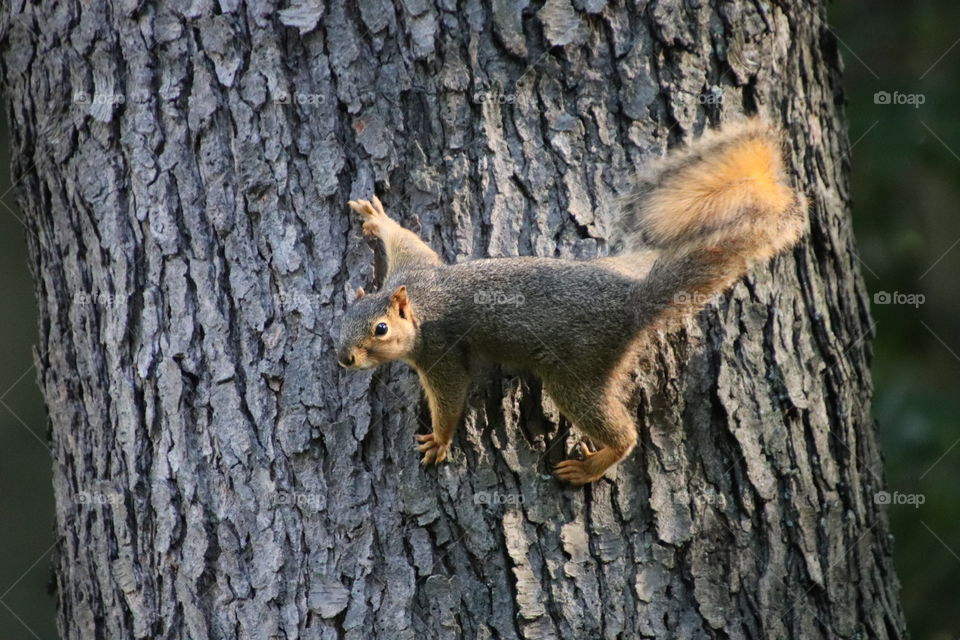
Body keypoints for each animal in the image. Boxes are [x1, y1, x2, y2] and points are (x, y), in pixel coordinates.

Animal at [334, 117, 808, 484]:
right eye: (339, 323)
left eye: (380, 329)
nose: (344, 360)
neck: (418, 300)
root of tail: (630, 303)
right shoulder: (413, 267)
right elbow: (407, 239)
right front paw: (376, 218)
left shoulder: (440, 352)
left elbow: (451, 397)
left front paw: (439, 439)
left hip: (575, 374)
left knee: (622, 433)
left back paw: (592, 465)